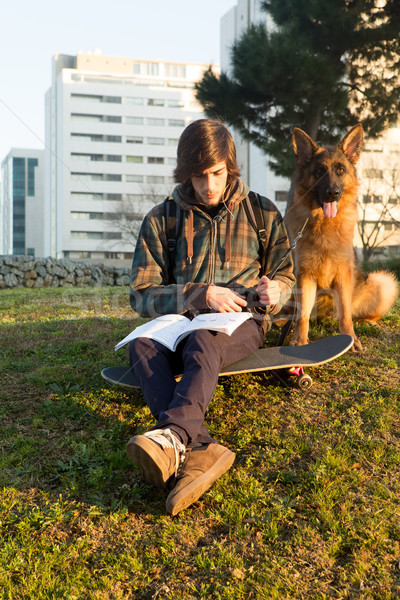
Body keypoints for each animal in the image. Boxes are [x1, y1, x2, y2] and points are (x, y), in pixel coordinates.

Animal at [286, 125, 398, 352]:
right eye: (320, 171)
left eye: (340, 170)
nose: (333, 193)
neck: (324, 225)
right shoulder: (304, 275)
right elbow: (302, 315)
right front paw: (299, 340)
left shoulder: (343, 275)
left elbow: (345, 312)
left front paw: (351, 339)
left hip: (383, 282)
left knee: (356, 314)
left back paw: (367, 322)